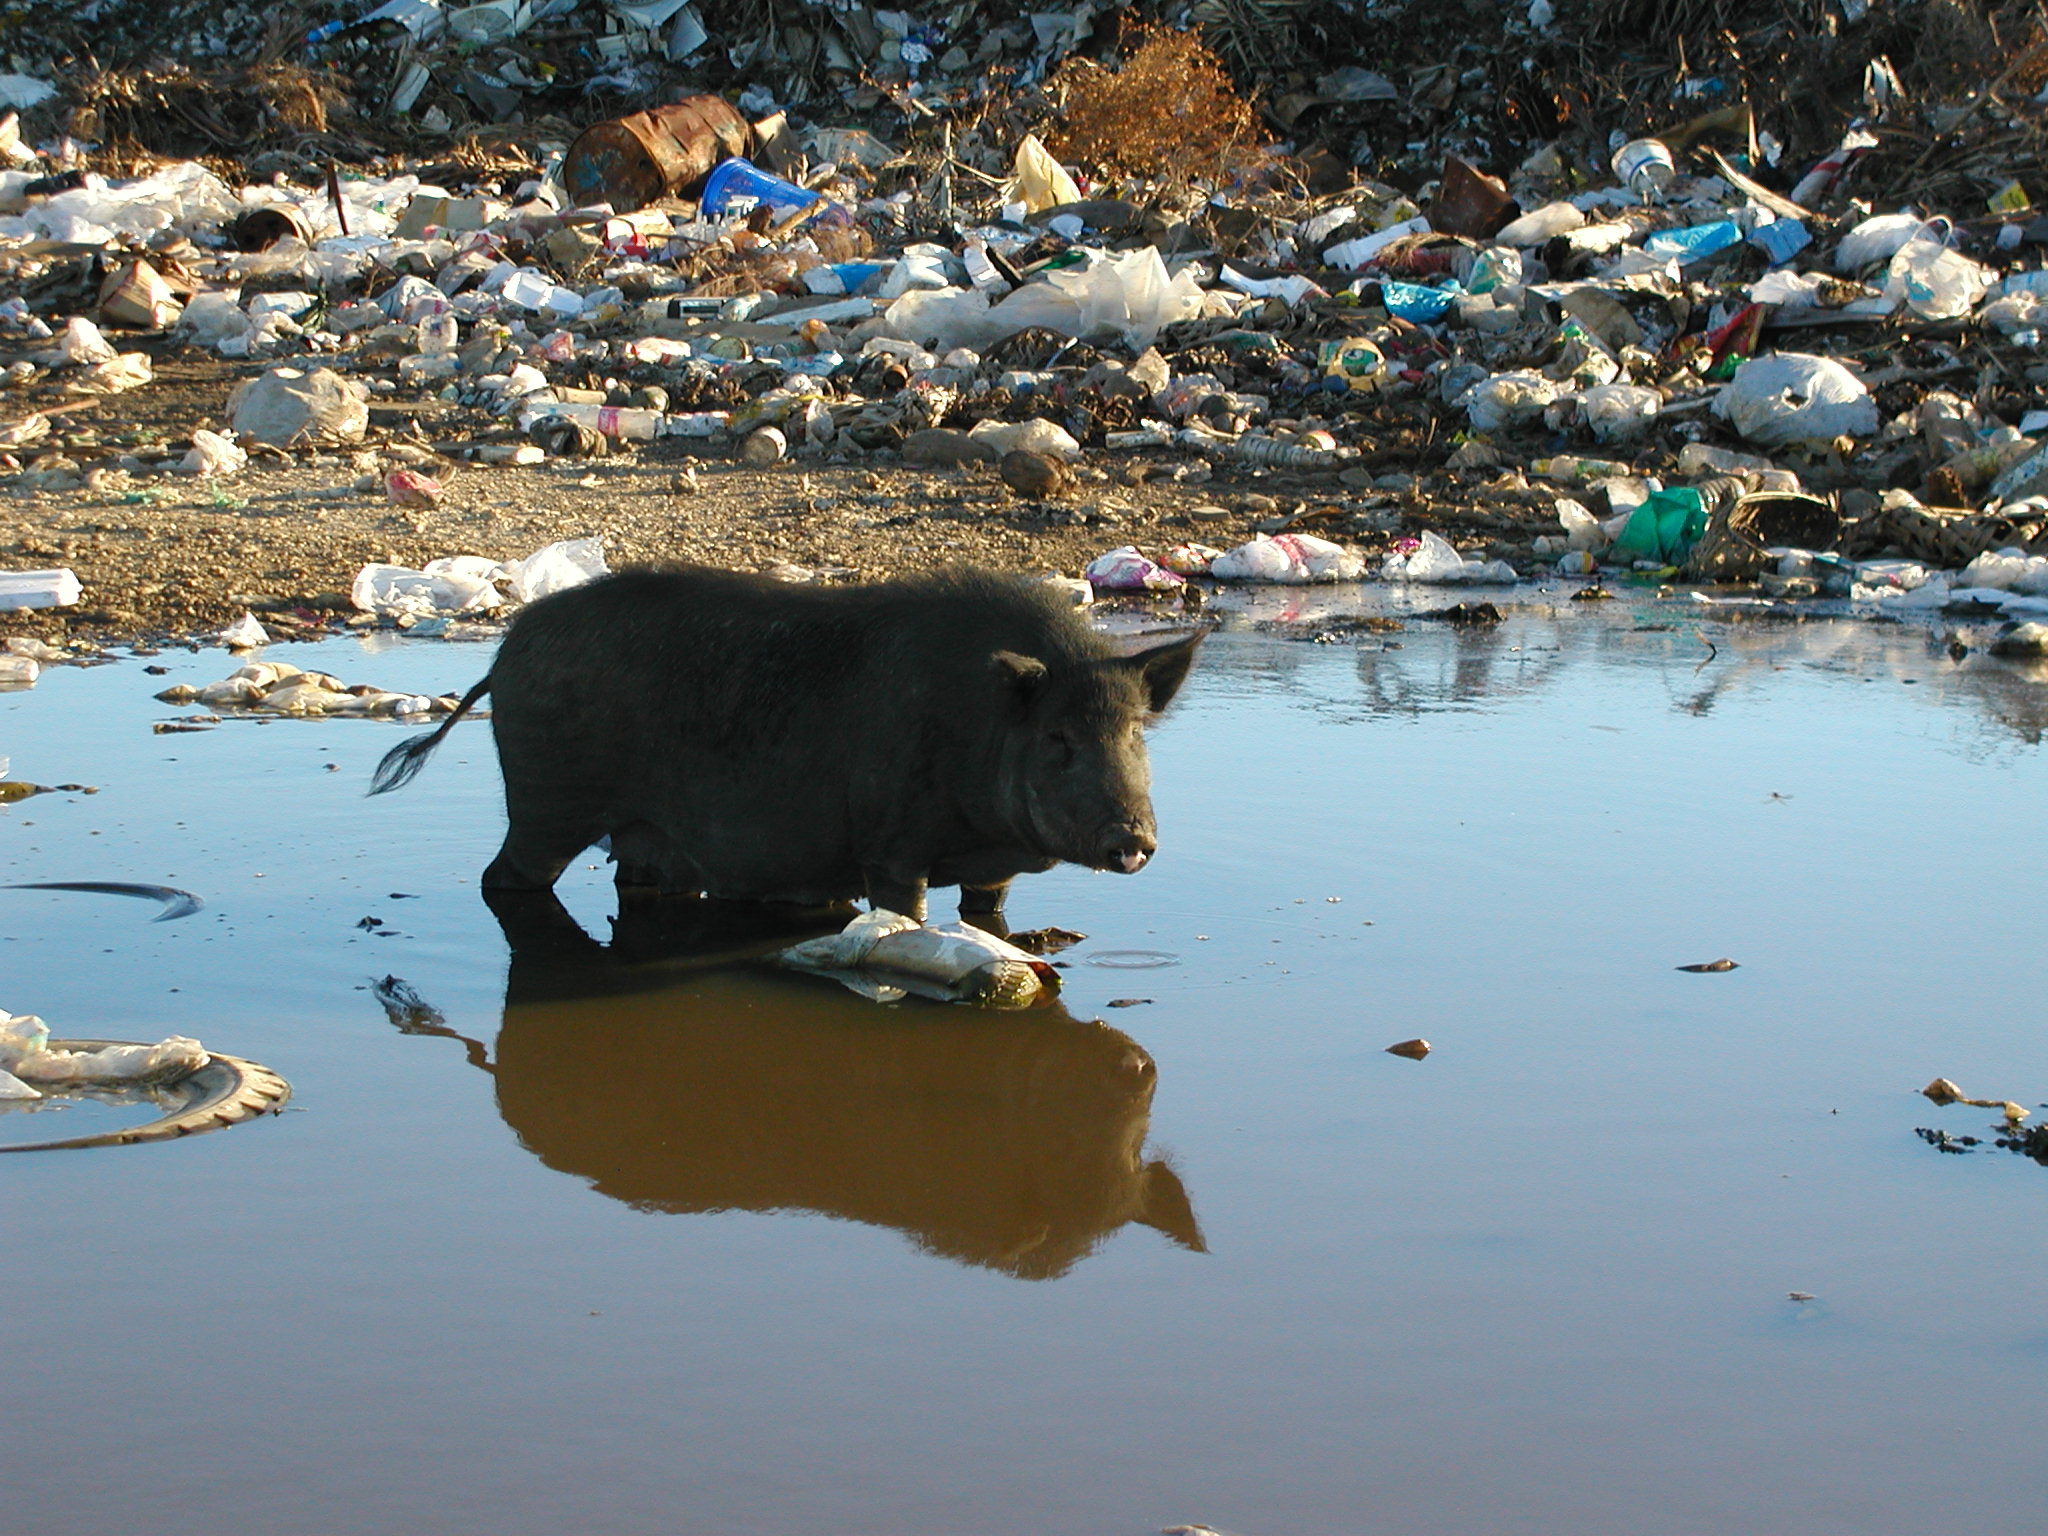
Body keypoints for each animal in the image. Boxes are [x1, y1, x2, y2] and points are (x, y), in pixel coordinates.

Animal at [372, 569, 1196, 921]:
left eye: (1135, 732)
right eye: (1058, 736)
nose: (1131, 839)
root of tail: (505, 654)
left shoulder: (990, 870)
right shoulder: (891, 846)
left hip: (634, 832)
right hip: (548, 804)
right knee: (502, 879)